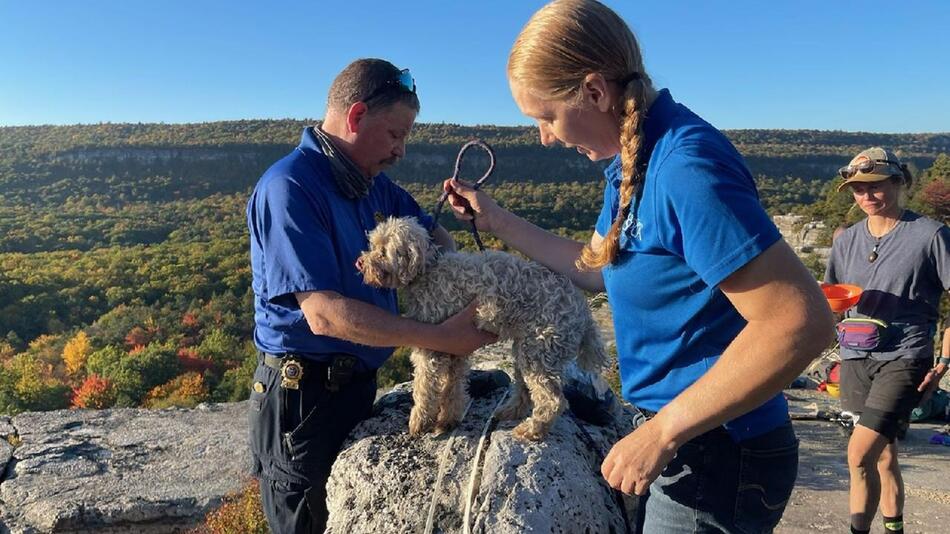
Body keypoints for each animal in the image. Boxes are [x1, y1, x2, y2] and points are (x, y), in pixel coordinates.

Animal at [354, 218, 608, 444]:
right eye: (373, 245)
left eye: (383, 251)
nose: (360, 262)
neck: (427, 270)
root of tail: (583, 311)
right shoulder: (452, 345)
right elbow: (453, 387)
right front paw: (448, 420)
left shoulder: (431, 349)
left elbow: (425, 387)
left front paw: (419, 422)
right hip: (526, 350)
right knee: (526, 391)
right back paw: (509, 413)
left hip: (540, 352)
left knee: (553, 401)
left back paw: (532, 430)